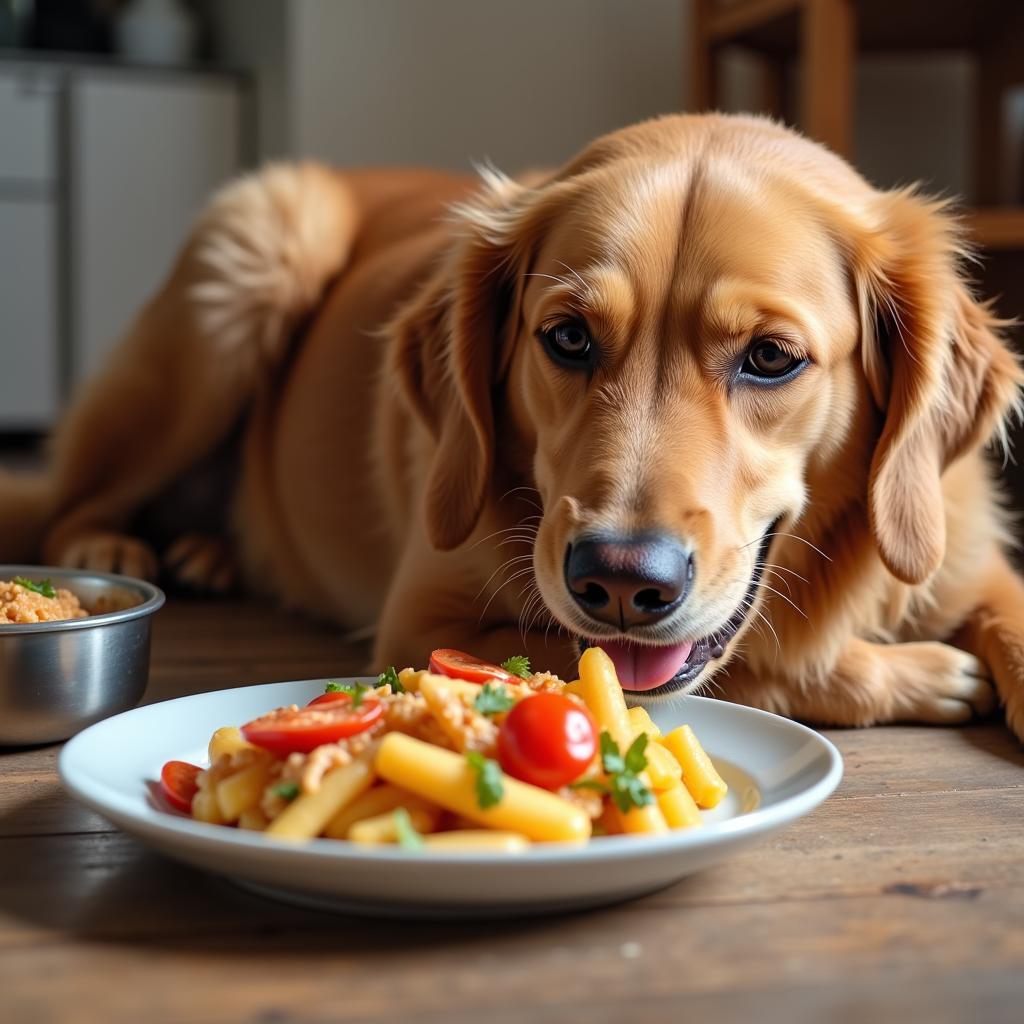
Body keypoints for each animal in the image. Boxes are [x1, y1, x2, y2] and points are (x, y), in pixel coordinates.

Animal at [2, 112, 1024, 741]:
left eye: (771, 357)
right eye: (567, 338)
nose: (621, 583)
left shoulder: (965, 554)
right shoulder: (423, 625)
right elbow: (766, 659)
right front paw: (925, 675)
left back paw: (208, 549)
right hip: (250, 258)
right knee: (71, 500)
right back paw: (113, 545)